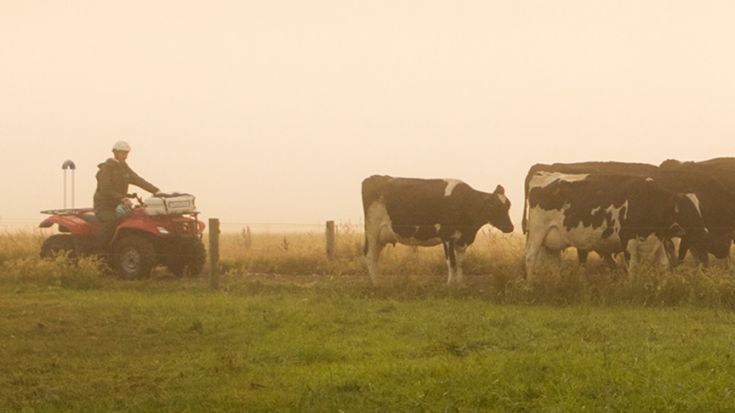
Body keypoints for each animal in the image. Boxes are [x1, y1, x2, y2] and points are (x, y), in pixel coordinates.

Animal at [360, 174, 512, 284]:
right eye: (494, 205)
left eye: (508, 205)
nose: (510, 227)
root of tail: (375, 177)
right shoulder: (447, 236)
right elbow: (451, 262)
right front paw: (450, 285)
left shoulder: (463, 239)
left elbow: (460, 263)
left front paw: (460, 284)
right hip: (372, 230)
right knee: (370, 255)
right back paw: (376, 284)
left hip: (381, 236)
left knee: (375, 256)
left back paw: (379, 281)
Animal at [528, 171, 712, 276]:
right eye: (687, 212)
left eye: (699, 209)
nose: (705, 233)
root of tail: (543, 174)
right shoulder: (628, 240)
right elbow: (633, 268)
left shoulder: (658, 241)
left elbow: (664, 267)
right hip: (537, 232)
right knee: (530, 258)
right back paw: (530, 286)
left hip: (552, 242)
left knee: (551, 265)